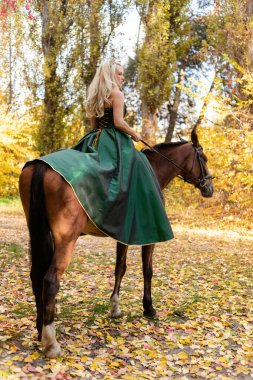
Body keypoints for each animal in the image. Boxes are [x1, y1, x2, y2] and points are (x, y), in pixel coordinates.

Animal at [18, 127, 213, 356]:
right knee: (50, 280)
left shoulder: (125, 234)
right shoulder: (149, 237)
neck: (154, 170)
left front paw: (115, 307)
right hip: (65, 239)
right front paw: (148, 308)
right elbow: (147, 271)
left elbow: (120, 268)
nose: (209, 187)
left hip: (37, 232)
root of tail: (42, 165)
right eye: (204, 158)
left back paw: (41, 329)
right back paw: (51, 342)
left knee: (36, 276)